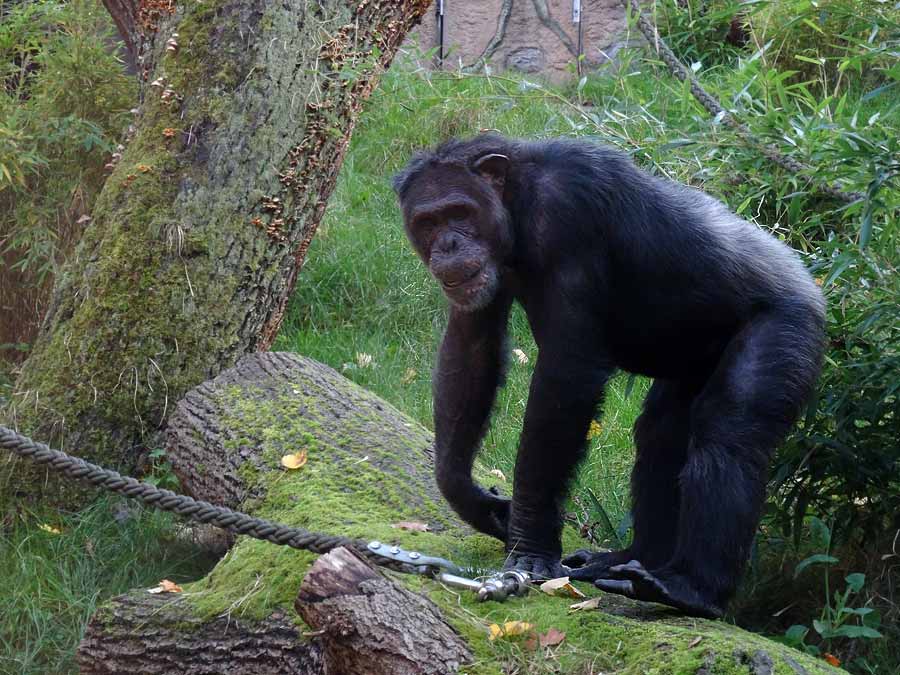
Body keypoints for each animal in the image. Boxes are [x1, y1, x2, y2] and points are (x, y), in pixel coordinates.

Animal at [390, 133, 828, 616]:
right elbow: (471, 349)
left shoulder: (570, 214)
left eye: (459, 213)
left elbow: (566, 375)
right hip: (693, 360)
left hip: (787, 326)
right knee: (660, 434)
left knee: (728, 433)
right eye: (428, 221)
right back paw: (635, 558)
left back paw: (691, 588)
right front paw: (473, 501)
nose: (448, 243)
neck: (517, 203)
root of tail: (810, 281)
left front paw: (530, 546)